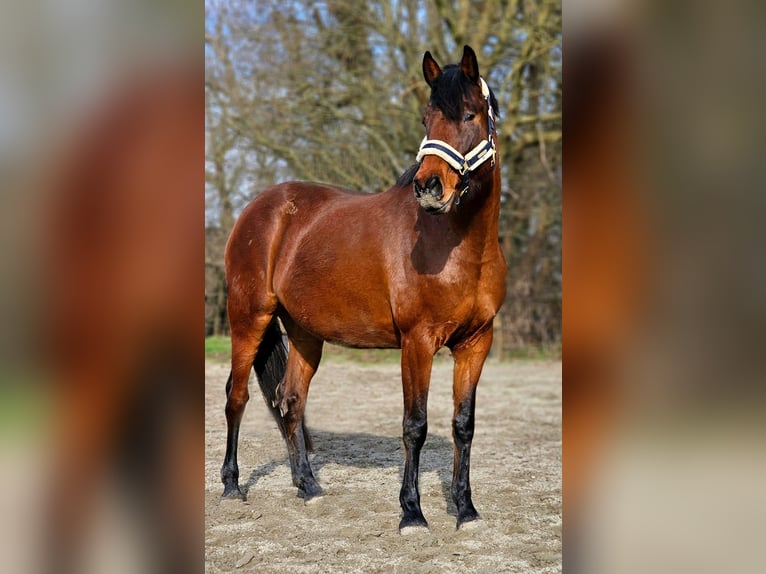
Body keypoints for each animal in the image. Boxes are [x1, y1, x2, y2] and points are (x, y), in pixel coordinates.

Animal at [222, 46, 508, 536]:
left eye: (470, 114)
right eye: (426, 117)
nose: (429, 187)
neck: (460, 246)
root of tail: (259, 208)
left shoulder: (476, 342)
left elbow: (463, 424)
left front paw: (466, 510)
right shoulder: (417, 342)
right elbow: (415, 425)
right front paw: (412, 514)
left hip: (305, 333)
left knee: (290, 400)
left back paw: (309, 487)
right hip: (248, 320)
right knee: (236, 397)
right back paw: (231, 487)